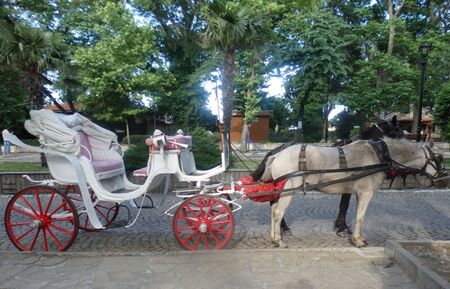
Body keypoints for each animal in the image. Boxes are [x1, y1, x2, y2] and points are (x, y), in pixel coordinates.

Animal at [258, 137, 444, 248]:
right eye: (437, 158)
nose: (443, 177)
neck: (378, 156)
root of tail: (277, 155)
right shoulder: (366, 193)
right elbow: (360, 216)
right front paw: (358, 240)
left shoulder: (355, 193)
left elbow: (352, 211)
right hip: (287, 190)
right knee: (278, 213)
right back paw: (279, 240)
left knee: (273, 210)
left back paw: (273, 236)